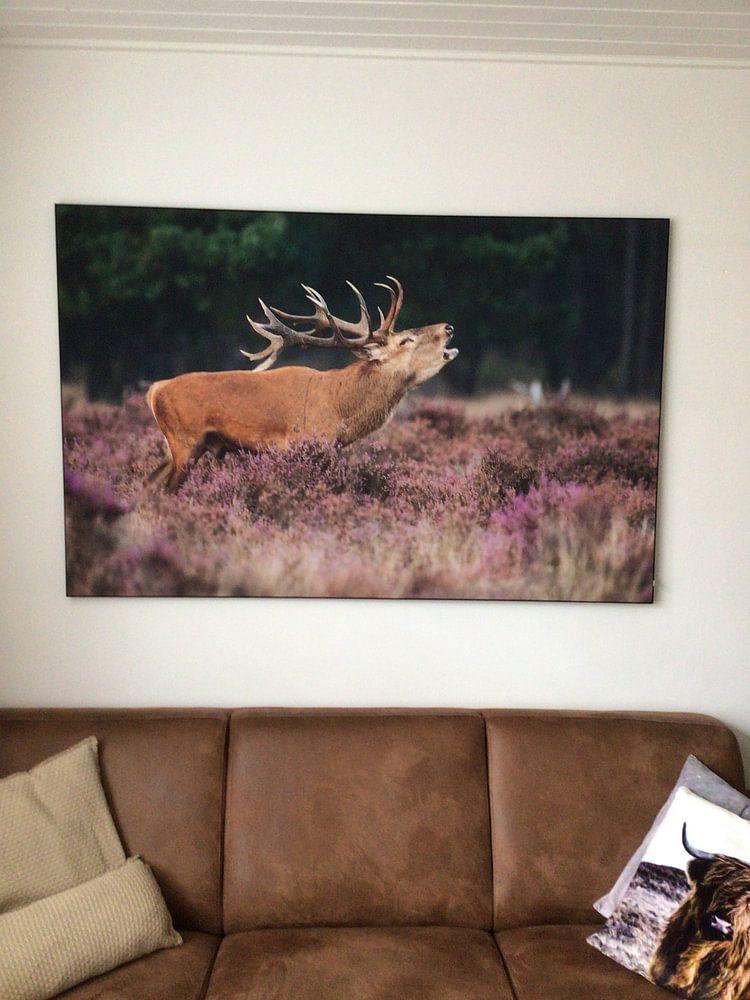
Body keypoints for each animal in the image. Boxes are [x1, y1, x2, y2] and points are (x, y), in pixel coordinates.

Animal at [145, 276, 458, 492]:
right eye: (406, 340)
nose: (448, 327)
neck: (340, 410)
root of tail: (155, 390)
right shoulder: (299, 444)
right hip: (184, 441)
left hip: (175, 447)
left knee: (150, 483)